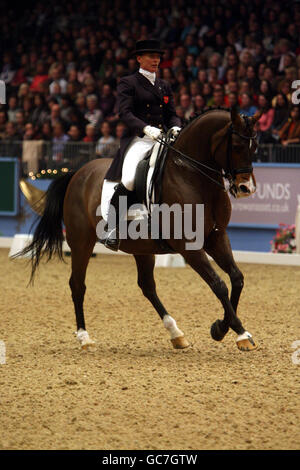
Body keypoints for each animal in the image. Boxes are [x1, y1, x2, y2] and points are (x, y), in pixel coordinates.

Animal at [19, 107, 262, 352]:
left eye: (255, 147)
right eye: (237, 146)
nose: (246, 188)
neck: (190, 176)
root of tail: (78, 173)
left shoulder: (216, 237)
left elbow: (237, 278)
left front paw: (224, 329)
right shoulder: (189, 246)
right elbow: (219, 285)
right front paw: (237, 332)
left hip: (141, 248)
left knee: (147, 286)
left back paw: (176, 334)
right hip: (81, 243)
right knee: (77, 284)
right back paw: (84, 337)